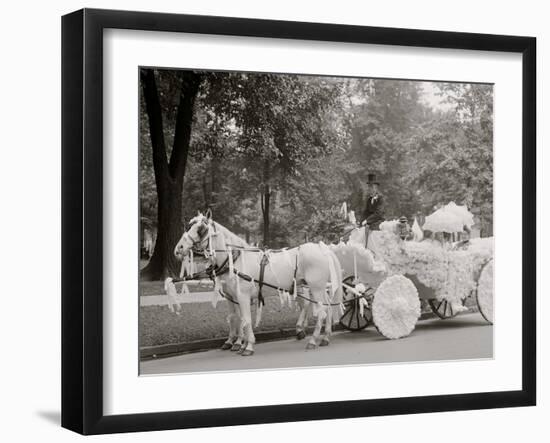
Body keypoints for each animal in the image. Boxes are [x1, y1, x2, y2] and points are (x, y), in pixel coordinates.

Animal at [175, 212, 342, 358]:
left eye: (200, 229)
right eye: (189, 225)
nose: (178, 249)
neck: (235, 259)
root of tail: (324, 249)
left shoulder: (242, 296)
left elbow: (246, 320)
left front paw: (247, 346)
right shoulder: (232, 297)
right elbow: (236, 318)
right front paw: (238, 343)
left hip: (316, 287)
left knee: (321, 311)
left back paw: (313, 340)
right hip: (315, 288)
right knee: (326, 307)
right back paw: (324, 337)